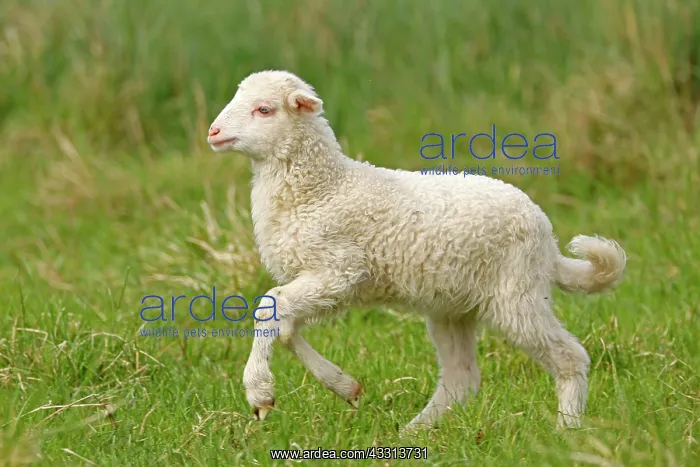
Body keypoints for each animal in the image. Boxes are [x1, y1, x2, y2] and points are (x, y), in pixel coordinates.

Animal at [206, 70, 627, 431]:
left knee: (569, 356)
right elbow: (285, 325)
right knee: (461, 377)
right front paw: (345, 386)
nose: (213, 131)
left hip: (516, 294)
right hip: (453, 306)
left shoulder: (339, 271)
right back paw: (414, 433)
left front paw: (259, 393)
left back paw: (566, 429)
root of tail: (547, 239)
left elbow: (270, 306)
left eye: (264, 109)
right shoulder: (318, 280)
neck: (323, 188)